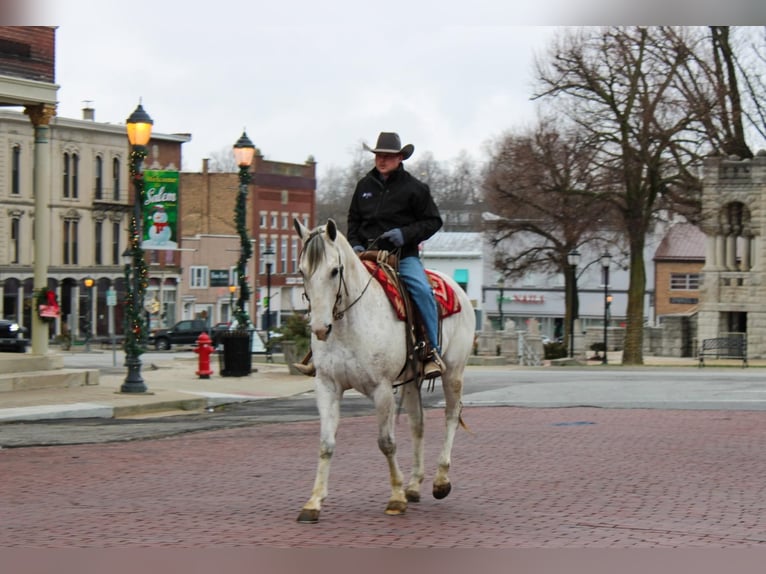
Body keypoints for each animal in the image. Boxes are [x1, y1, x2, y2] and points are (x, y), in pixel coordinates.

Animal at [294, 218, 474, 524]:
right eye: (302, 270)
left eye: (334, 270)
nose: (319, 328)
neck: (348, 323)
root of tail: (456, 286)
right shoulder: (327, 386)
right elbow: (326, 444)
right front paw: (313, 502)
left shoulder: (382, 388)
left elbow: (386, 442)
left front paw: (396, 498)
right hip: (411, 380)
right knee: (417, 424)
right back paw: (414, 484)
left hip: (453, 372)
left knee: (451, 416)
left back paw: (440, 481)